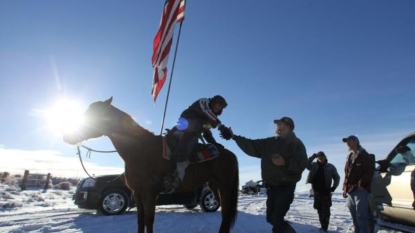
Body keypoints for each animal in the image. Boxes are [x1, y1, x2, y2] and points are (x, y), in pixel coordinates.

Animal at [64, 97, 240, 233]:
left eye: (95, 113)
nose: (68, 136)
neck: (140, 150)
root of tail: (231, 155)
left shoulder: (150, 192)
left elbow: (149, 220)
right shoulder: (137, 192)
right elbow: (141, 220)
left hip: (225, 187)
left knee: (226, 215)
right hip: (215, 186)